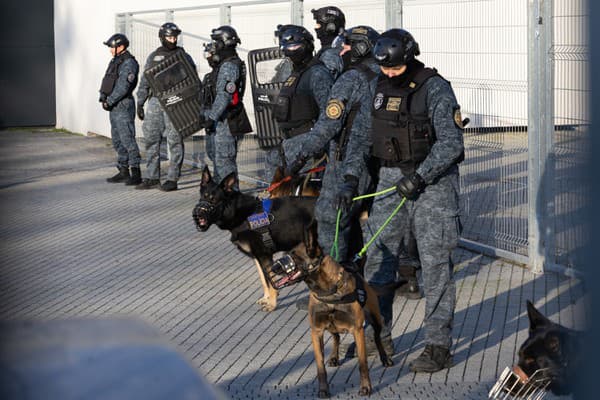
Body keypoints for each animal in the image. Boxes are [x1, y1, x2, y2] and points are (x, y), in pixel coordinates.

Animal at [192, 166, 316, 312]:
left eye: (214, 200)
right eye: (202, 197)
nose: (198, 213)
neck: (240, 214)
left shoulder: (264, 256)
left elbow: (271, 281)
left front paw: (272, 304)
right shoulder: (257, 257)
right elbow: (264, 280)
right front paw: (267, 298)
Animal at [280, 220, 396, 398]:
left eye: (294, 255)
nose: (273, 268)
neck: (329, 293)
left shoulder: (357, 330)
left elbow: (362, 363)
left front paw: (366, 387)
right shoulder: (316, 331)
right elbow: (320, 366)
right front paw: (323, 389)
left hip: (376, 320)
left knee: (377, 338)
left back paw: (385, 359)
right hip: (331, 325)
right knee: (336, 337)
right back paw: (334, 356)